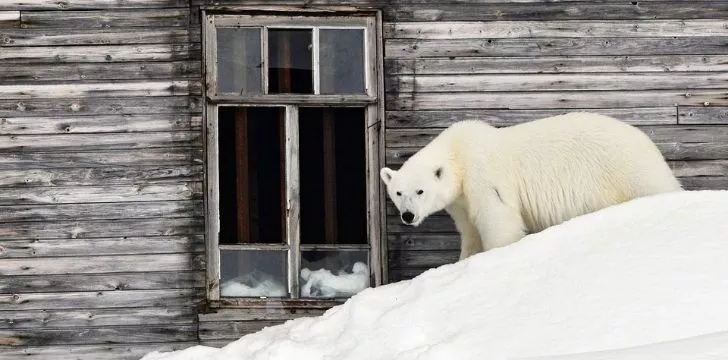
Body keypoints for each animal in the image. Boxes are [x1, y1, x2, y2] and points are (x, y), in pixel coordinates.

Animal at [382, 112, 684, 258]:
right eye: (398, 192)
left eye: (420, 190)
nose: (407, 215)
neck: (458, 153)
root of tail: (649, 144)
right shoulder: (460, 202)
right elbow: (470, 231)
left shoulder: (482, 177)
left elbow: (498, 220)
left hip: (628, 170)